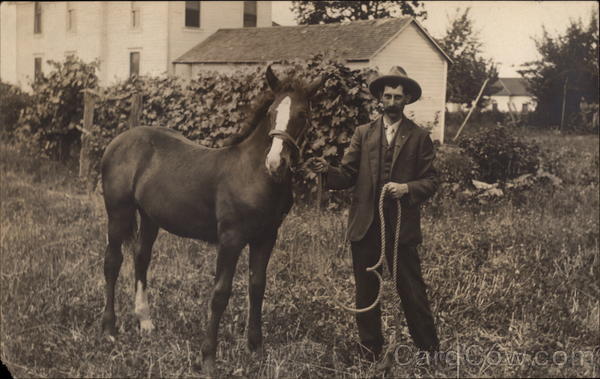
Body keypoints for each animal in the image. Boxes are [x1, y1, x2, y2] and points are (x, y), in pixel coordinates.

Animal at [99, 66, 324, 378]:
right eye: (271, 112)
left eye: (303, 114)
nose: (276, 164)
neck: (253, 173)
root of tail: (122, 138)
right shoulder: (231, 238)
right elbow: (220, 293)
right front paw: (208, 358)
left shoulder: (266, 237)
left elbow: (258, 286)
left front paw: (256, 349)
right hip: (118, 212)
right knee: (112, 262)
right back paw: (109, 329)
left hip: (149, 216)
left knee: (141, 256)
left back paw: (145, 321)